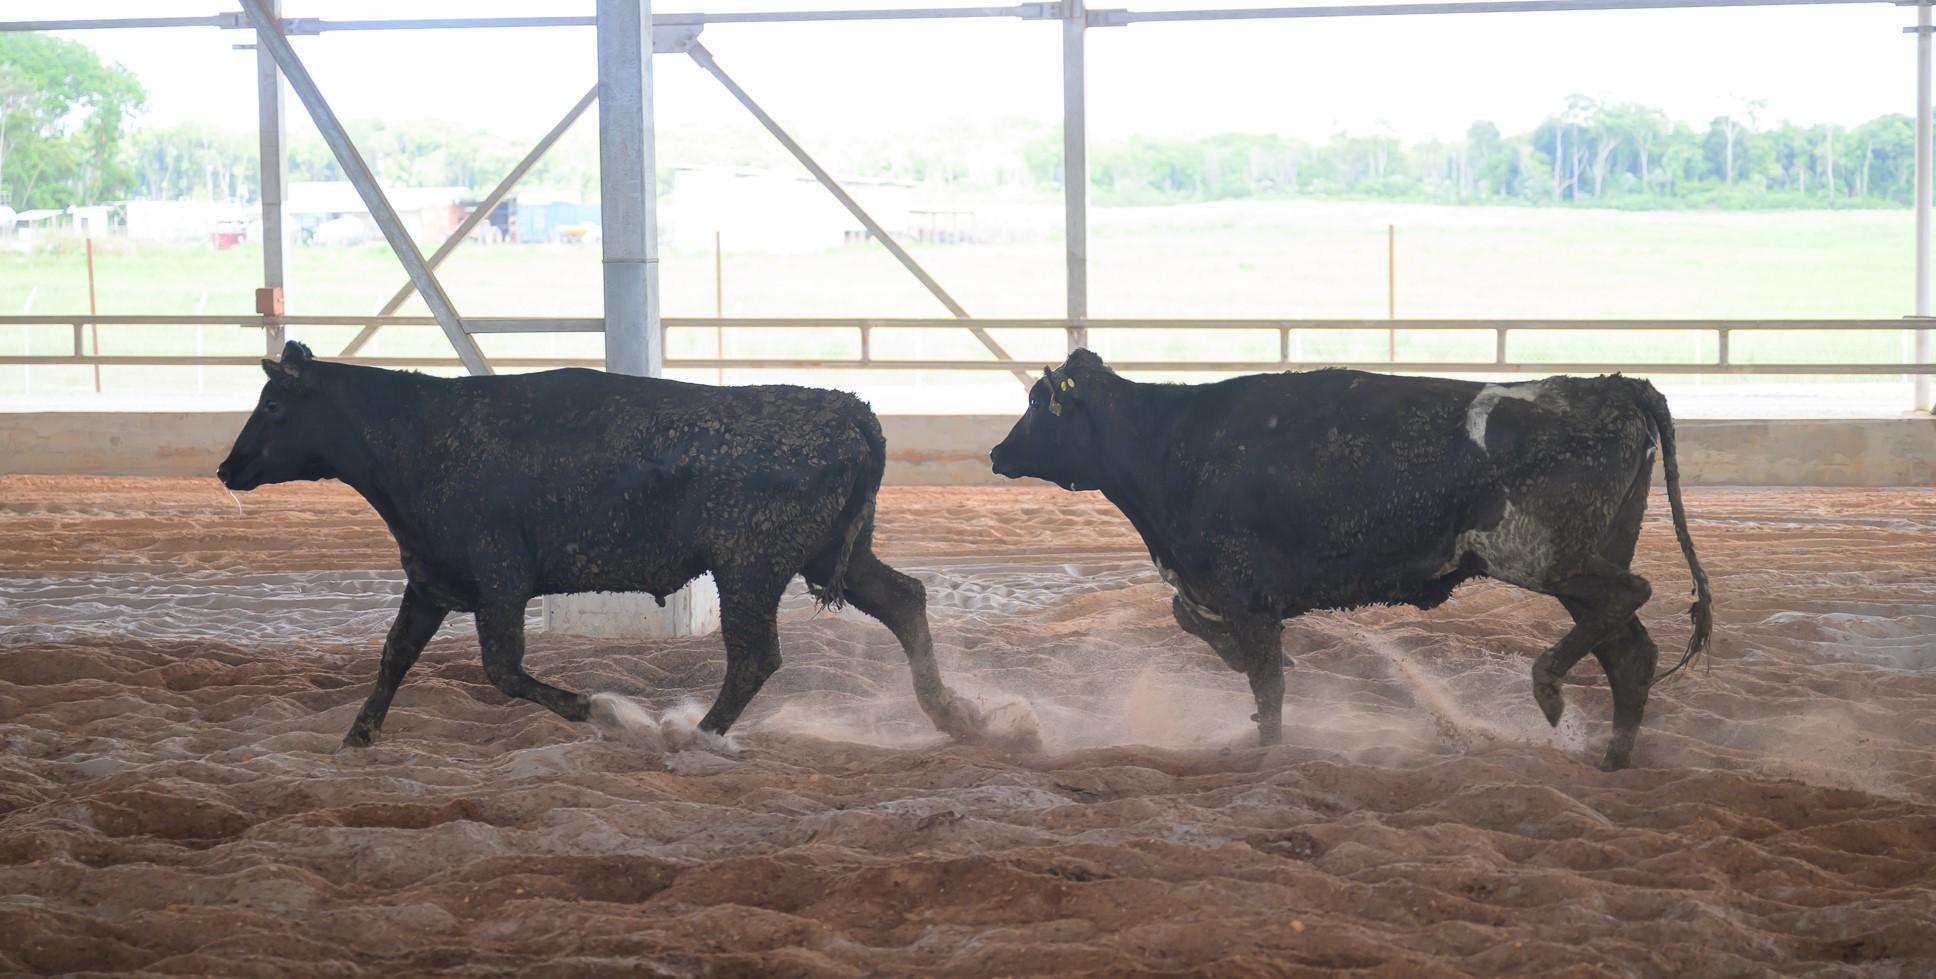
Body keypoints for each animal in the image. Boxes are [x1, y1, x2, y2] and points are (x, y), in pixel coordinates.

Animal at [219, 341, 993, 750]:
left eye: (274, 405)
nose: (228, 468)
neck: (420, 435)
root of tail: (851, 410)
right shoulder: (430, 578)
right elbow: (394, 656)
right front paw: (357, 737)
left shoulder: (500, 577)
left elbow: (502, 669)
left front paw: (598, 711)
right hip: (833, 556)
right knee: (905, 600)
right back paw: (956, 715)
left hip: (750, 567)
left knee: (755, 657)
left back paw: (694, 735)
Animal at [990, 349, 1713, 770]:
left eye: (1036, 403)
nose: (997, 453)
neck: (1172, 442)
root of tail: (1615, 388)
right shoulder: (1219, 590)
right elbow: (1193, 619)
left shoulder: (1247, 594)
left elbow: (1266, 681)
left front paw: (1271, 749)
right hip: (1583, 560)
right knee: (1630, 651)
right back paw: (1613, 758)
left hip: (1542, 557)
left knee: (1632, 596)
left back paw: (1548, 687)